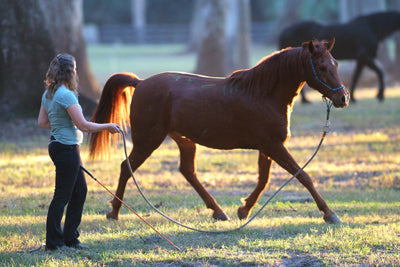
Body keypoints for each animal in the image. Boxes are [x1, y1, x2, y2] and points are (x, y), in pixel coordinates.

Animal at [89, 38, 348, 225]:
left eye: (336, 64)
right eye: (322, 67)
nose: (343, 98)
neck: (262, 94)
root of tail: (140, 83)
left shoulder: (268, 146)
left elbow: (263, 180)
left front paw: (244, 209)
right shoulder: (273, 145)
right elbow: (303, 176)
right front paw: (329, 213)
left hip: (183, 140)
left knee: (187, 171)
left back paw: (218, 211)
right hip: (148, 140)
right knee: (126, 167)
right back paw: (114, 212)